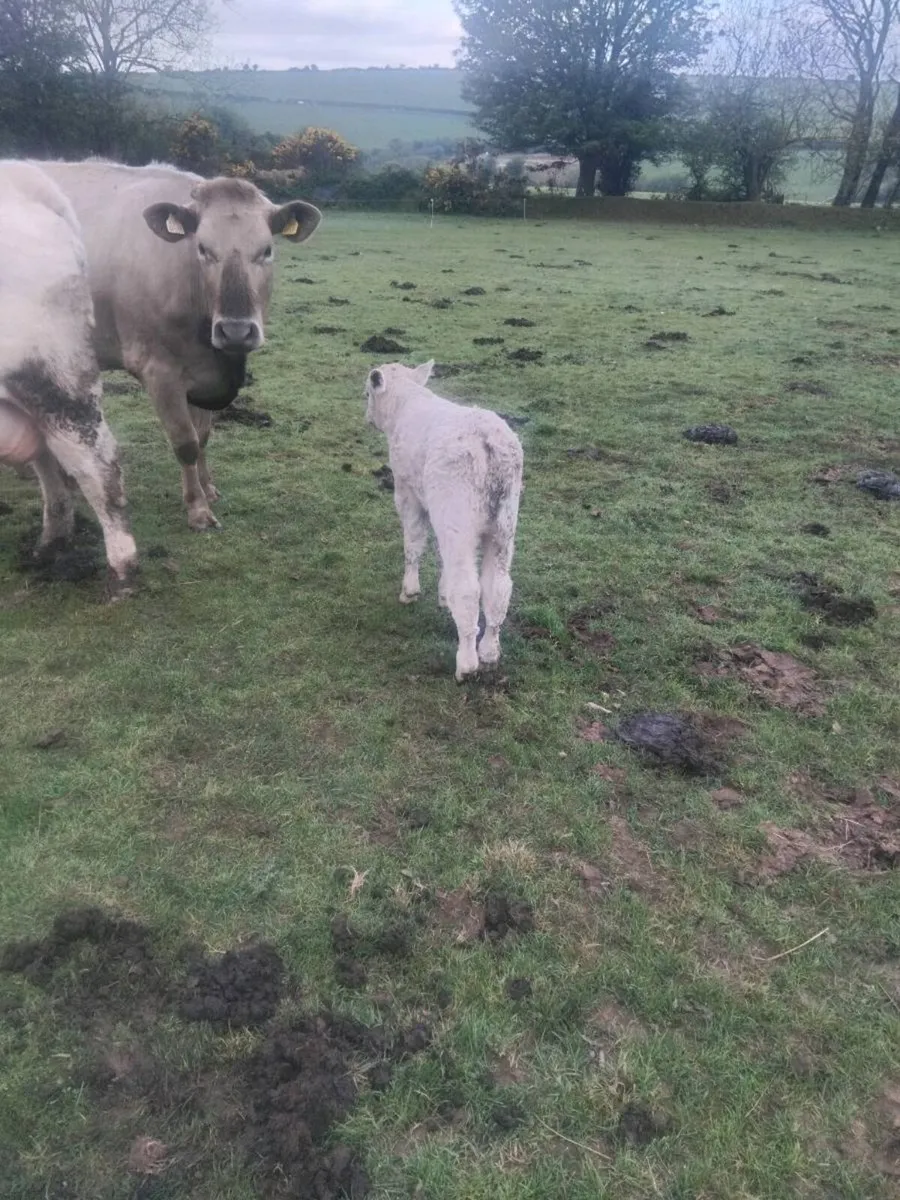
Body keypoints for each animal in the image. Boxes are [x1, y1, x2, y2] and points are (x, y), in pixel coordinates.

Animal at [35, 159, 322, 531]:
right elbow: (185, 442)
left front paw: (208, 488)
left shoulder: (204, 372)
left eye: (267, 250)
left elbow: (202, 437)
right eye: (203, 249)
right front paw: (197, 508)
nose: (236, 331)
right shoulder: (159, 371)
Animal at [364, 360, 524, 681]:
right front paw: (441, 593)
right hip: (504, 524)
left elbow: (413, 542)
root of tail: (488, 443)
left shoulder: (407, 491)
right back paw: (489, 652)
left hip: (458, 515)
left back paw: (467, 664)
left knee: (468, 590)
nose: (367, 418)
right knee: (497, 587)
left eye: (367, 393)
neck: (406, 403)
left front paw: (410, 591)